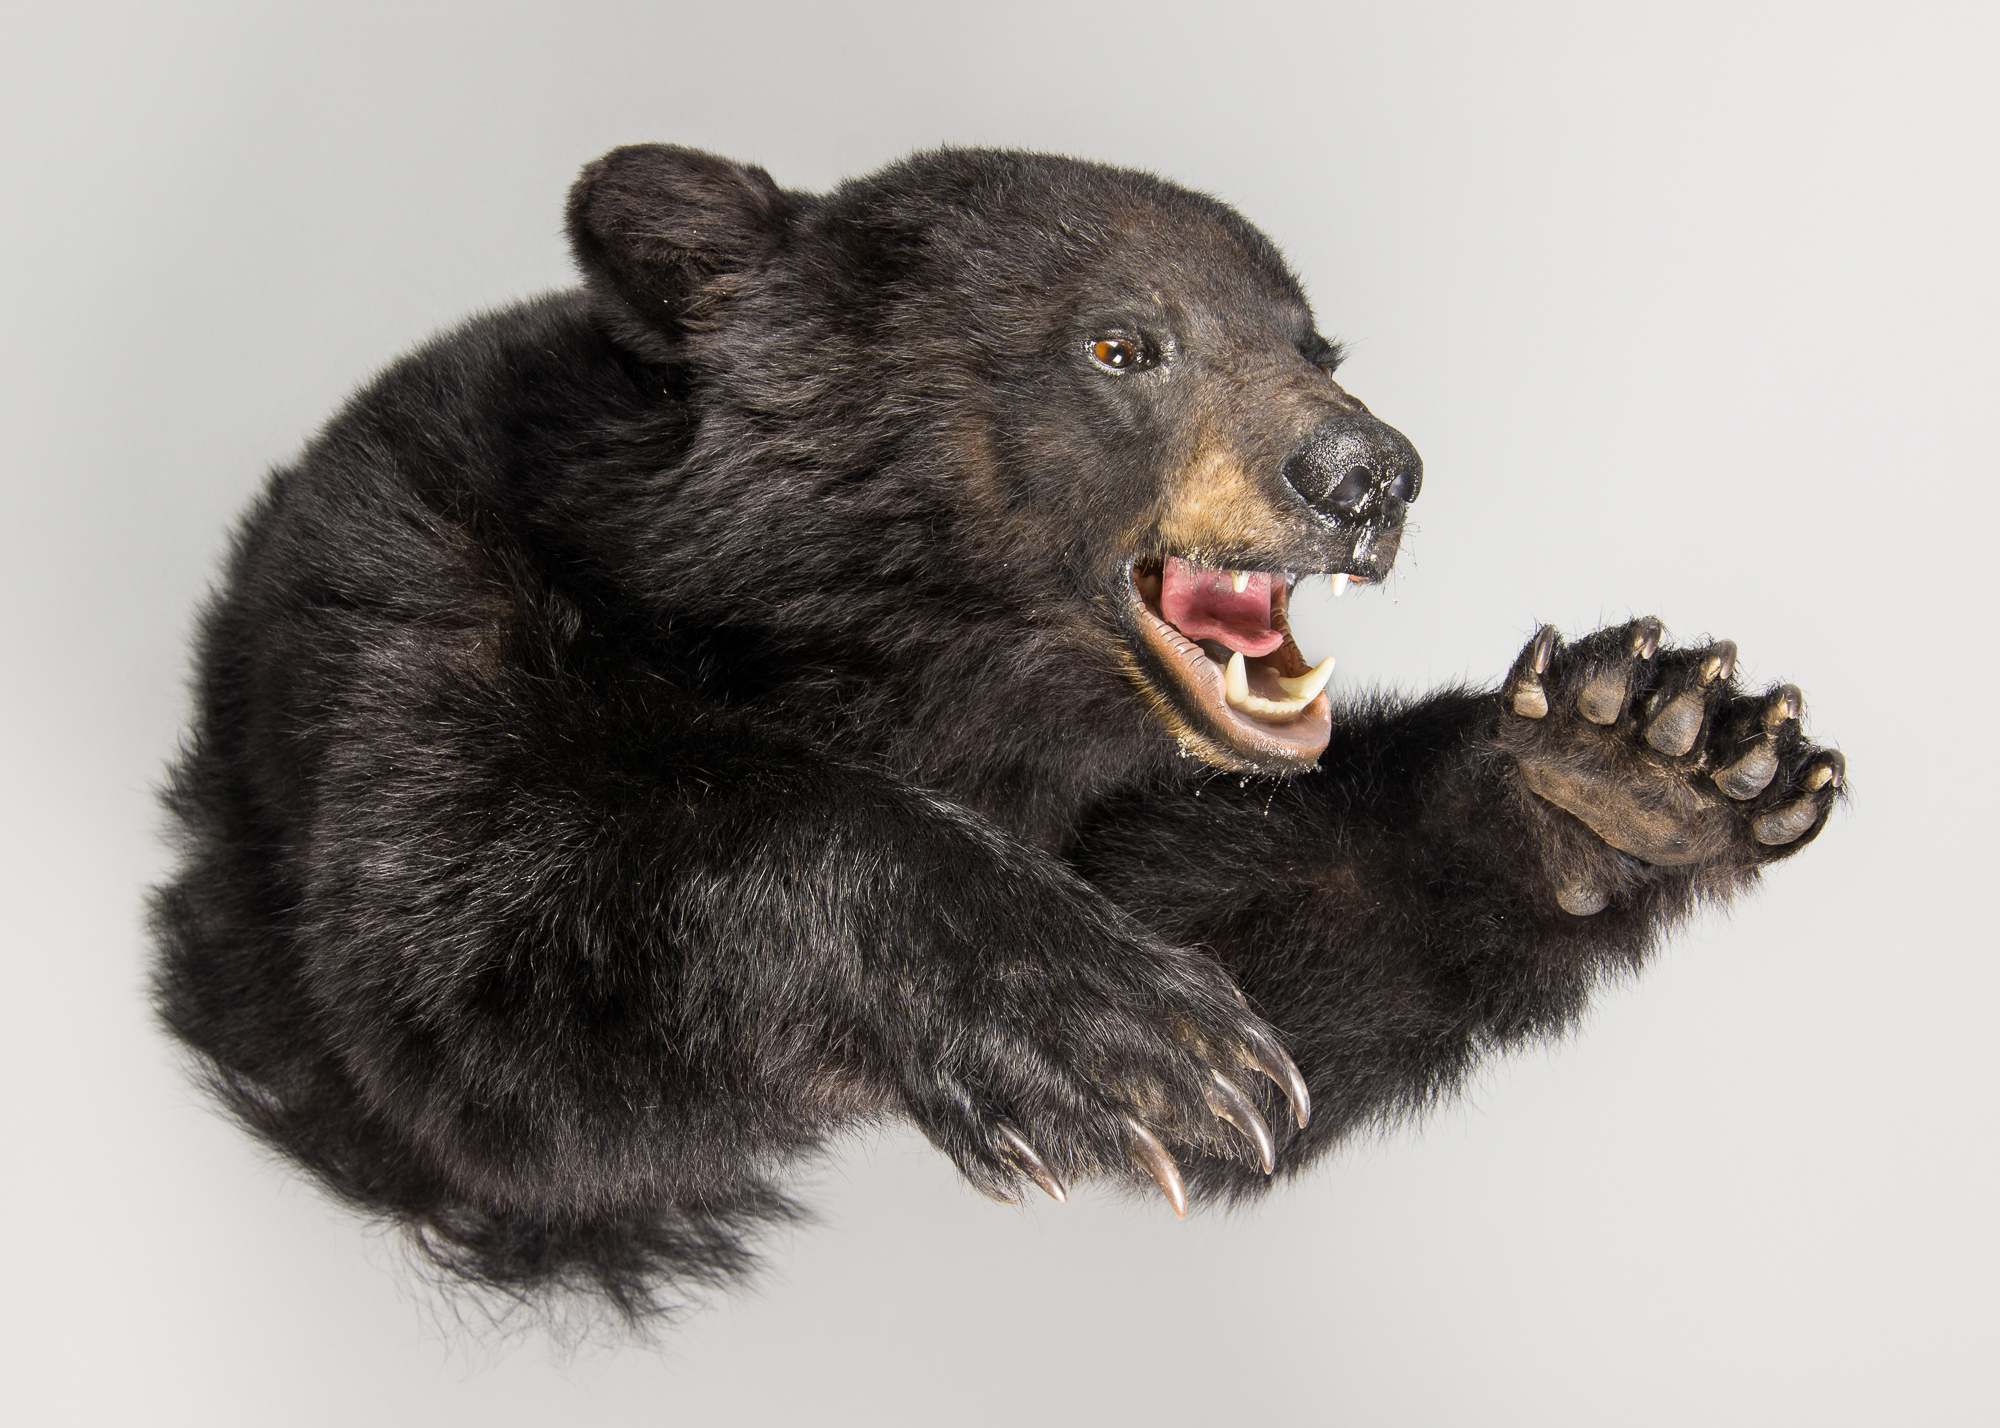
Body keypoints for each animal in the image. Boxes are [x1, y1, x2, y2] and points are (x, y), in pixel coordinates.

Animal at [152, 145, 1840, 1312]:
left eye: (1317, 346)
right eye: (1122, 345)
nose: (1369, 475)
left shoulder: (1099, 794)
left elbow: (1270, 943)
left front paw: (1631, 762)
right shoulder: (441, 618)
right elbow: (476, 975)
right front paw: (1103, 1029)